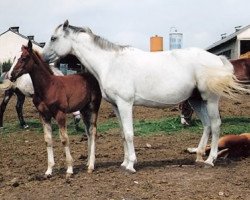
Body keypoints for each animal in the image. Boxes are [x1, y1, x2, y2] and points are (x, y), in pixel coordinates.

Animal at [9, 41, 101, 178]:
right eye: (15, 57)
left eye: (24, 58)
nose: (10, 75)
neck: (48, 87)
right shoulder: (43, 115)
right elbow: (48, 140)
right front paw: (49, 170)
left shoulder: (60, 114)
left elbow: (64, 139)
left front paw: (69, 169)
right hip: (84, 110)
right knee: (88, 131)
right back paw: (88, 161)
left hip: (93, 107)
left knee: (93, 131)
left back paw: (91, 165)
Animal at [43, 20, 248, 173]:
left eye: (53, 38)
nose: (43, 58)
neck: (110, 63)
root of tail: (218, 59)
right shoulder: (116, 106)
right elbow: (123, 134)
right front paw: (124, 163)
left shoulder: (125, 104)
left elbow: (129, 133)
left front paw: (131, 165)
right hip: (196, 100)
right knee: (206, 125)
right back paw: (198, 157)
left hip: (210, 100)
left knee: (215, 125)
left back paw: (210, 160)